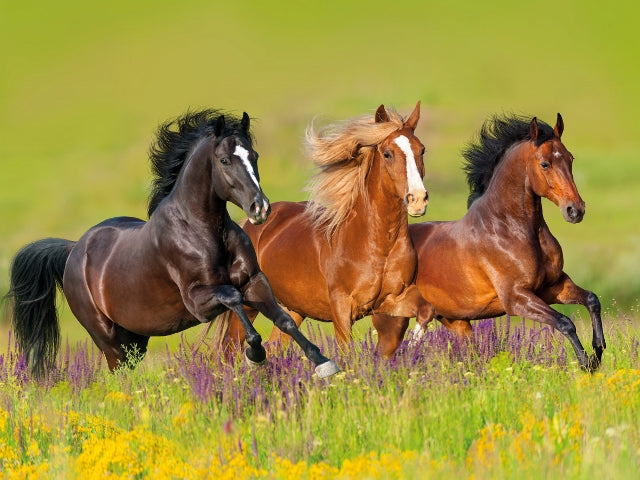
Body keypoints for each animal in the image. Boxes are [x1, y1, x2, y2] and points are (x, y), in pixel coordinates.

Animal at [6, 109, 340, 378]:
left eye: (254, 156)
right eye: (224, 160)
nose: (260, 208)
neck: (204, 232)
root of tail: (74, 250)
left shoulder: (254, 281)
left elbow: (285, 320)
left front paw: (324, 363)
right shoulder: (198, 301)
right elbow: (233, 298)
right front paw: (255, 355)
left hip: (135, 339)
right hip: (108, 339)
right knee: (119, 375)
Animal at [215, 103, 436, 354]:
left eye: (421, 150)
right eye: (388, 153)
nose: (417, 200)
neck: (377, 245)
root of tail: (248, 226)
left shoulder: (393, 299)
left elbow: (425, 311)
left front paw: (409, 349)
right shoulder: (341, 308)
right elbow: (347, 351)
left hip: (293, 308)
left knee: (275, 345)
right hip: (249, 303)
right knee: (230, 347)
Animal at [370, 114, 604, 374]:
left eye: (570, 158)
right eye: (545, 164)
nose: (575, 210)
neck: (508, 229)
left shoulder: (553, 287)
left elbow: (592, 299)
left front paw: (598, 349)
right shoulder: (517, 298)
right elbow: (565, 322)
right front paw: (587, 363)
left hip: (456, 322)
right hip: (394, 320)